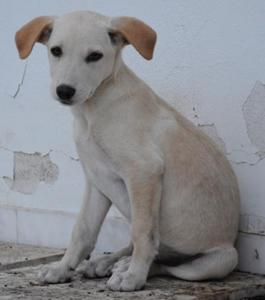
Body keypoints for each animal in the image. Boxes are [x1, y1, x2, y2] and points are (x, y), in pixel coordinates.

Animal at [15, 11, 240, 290]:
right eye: (56, 50)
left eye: (95, 56)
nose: (65, 91)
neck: (93, 110)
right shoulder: (97, 181)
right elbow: (82, 231)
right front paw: (61, 269)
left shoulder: (144, 172)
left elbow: (142, 233)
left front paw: (134, 276)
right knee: (149, 252)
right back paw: (109, 262)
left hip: (218, 261)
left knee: (166, 264)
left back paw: (127, 268)